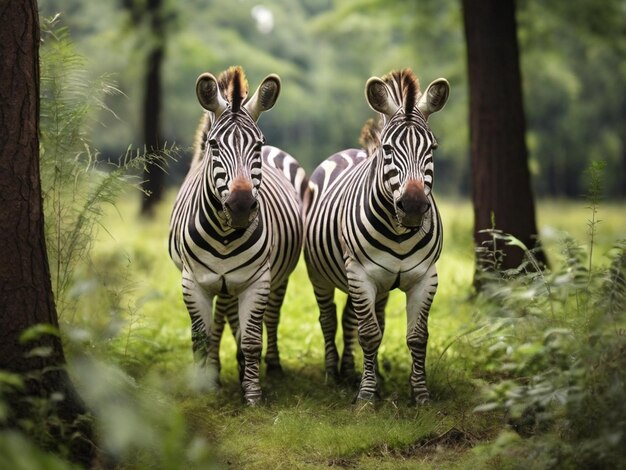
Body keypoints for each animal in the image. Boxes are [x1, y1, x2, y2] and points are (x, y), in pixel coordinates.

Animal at [169, 66, 306, 404]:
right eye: (215, 145)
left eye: (257, 145)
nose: (241, 205)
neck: (224, 234)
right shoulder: (193, 281)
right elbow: (201, 337)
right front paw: (203, 389)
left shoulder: (257, 279)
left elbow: (251, 339)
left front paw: (252, 394)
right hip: (222, 281)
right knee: (223, 318)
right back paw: (218, 370)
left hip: (274, 278)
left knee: (270, 318)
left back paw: (269, 367)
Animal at [304, 69, 446, 404]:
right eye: (388, 149)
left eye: (432, 149)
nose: (414, 206)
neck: (400, 233)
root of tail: (348, 152)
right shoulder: (360, 273)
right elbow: (368, 334)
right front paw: (366, 397)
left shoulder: (426, 277)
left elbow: (416, 336)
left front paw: (420, 395)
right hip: (320, 273)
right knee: (329, 319)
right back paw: (333, 374)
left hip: (379, 284)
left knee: (357, 318)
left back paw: (356, 372)